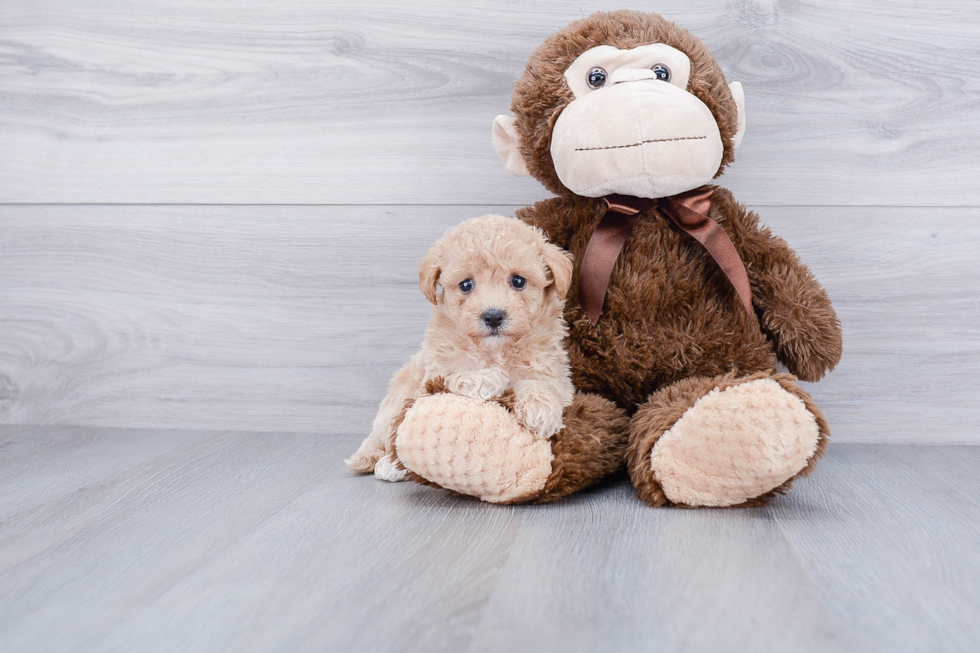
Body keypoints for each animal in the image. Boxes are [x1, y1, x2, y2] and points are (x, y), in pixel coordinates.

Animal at [344, 213, 576, 478]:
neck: (494, 351)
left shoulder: (557, 376)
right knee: (385, 435)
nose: (493, 316)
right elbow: (456, 376)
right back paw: (388, 465)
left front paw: (540, 410)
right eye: (466, 285)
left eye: (518, 281)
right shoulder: (430, 378)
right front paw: (490, 378)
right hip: (399, 394)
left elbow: (542, 384)